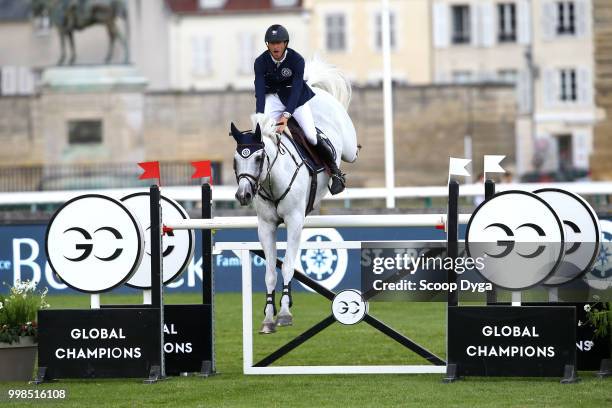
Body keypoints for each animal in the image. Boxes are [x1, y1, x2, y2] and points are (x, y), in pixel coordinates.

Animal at [230, 58, 358, 334]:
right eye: (236, 160)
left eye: (259, 158)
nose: (244, 194)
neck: (271, 179)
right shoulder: (266, 226)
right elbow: (270, 272)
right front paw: (268, 318)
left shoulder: (295, 221)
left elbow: (288, 264)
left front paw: (285, 313)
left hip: (348, 147)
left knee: (342, 149)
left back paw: (339, 175)